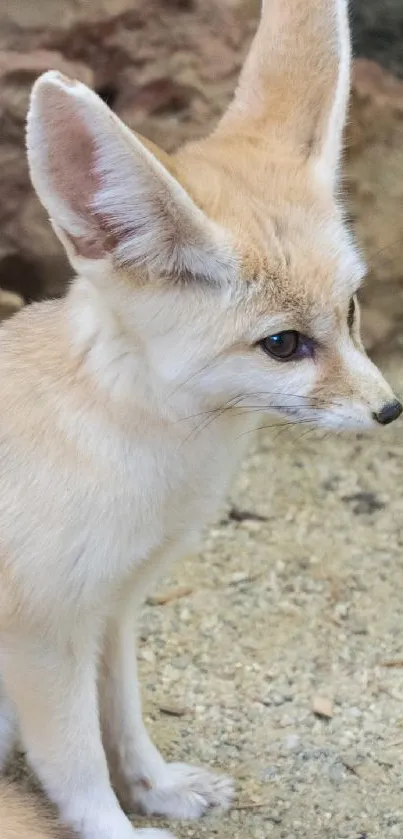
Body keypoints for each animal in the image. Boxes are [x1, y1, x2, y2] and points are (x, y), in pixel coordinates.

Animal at [0, 1, 403, 839]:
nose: (390, 409)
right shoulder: (42, 636)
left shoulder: (115, 607)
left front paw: (156, 787)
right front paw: (117, 830)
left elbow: (123, 719)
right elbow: (77, 764)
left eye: (351, 309)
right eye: (282, 344)